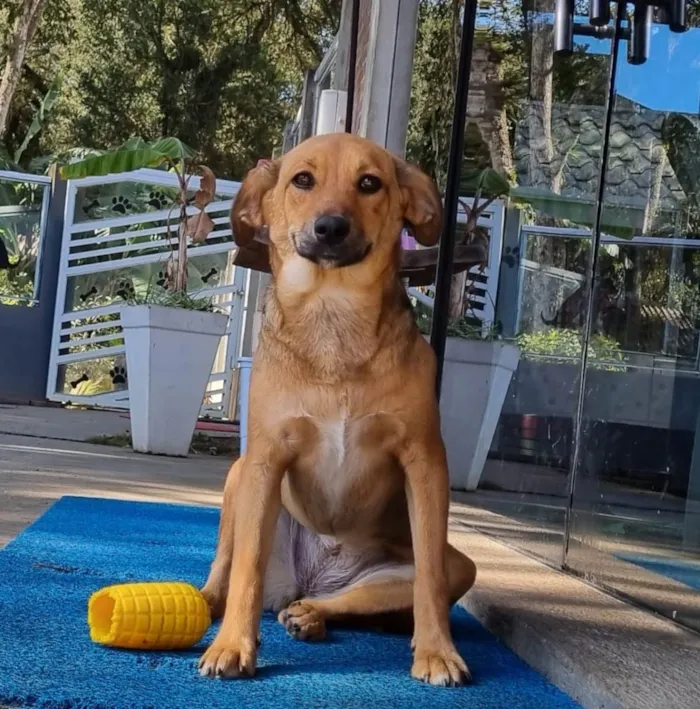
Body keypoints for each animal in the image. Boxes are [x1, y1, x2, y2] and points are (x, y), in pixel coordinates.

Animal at [200, 133, 478, 684]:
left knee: (348, 599)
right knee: (227, 567)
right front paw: (232, 646)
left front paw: (437, 651)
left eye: (369, 182)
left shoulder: (425, 462)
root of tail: (312, 577)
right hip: (240, 477)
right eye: (302, 180)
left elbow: (430, 578)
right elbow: (246, 567)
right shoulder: (265, 460)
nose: (331, 227)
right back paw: (210, 604)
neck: (334, 317)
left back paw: (310, 615)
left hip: (453, 567)